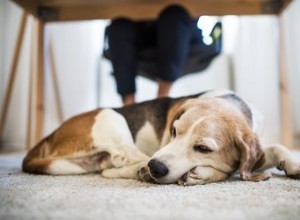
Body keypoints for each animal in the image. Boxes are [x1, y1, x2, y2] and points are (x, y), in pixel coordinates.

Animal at [23, 90, 300, 186]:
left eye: (203, 148)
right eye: (174, 131)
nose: (156, 168)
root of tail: (52, 134)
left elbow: (275, 147)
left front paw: (292, 164)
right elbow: (229, 170)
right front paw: (206, 173)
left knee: (111, 168)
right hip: (113, 117)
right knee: (123, 159)